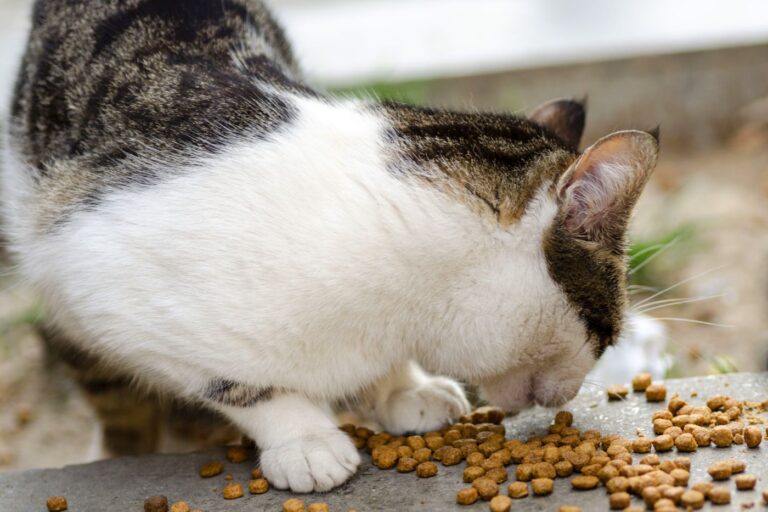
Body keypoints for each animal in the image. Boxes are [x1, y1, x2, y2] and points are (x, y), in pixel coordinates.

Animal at [3, 0, 656, 492]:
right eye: (607, 331)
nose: (573, 391)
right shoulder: (98, 281)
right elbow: (239, 383)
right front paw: (307, 440)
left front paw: (402, 389)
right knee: (114, 399)